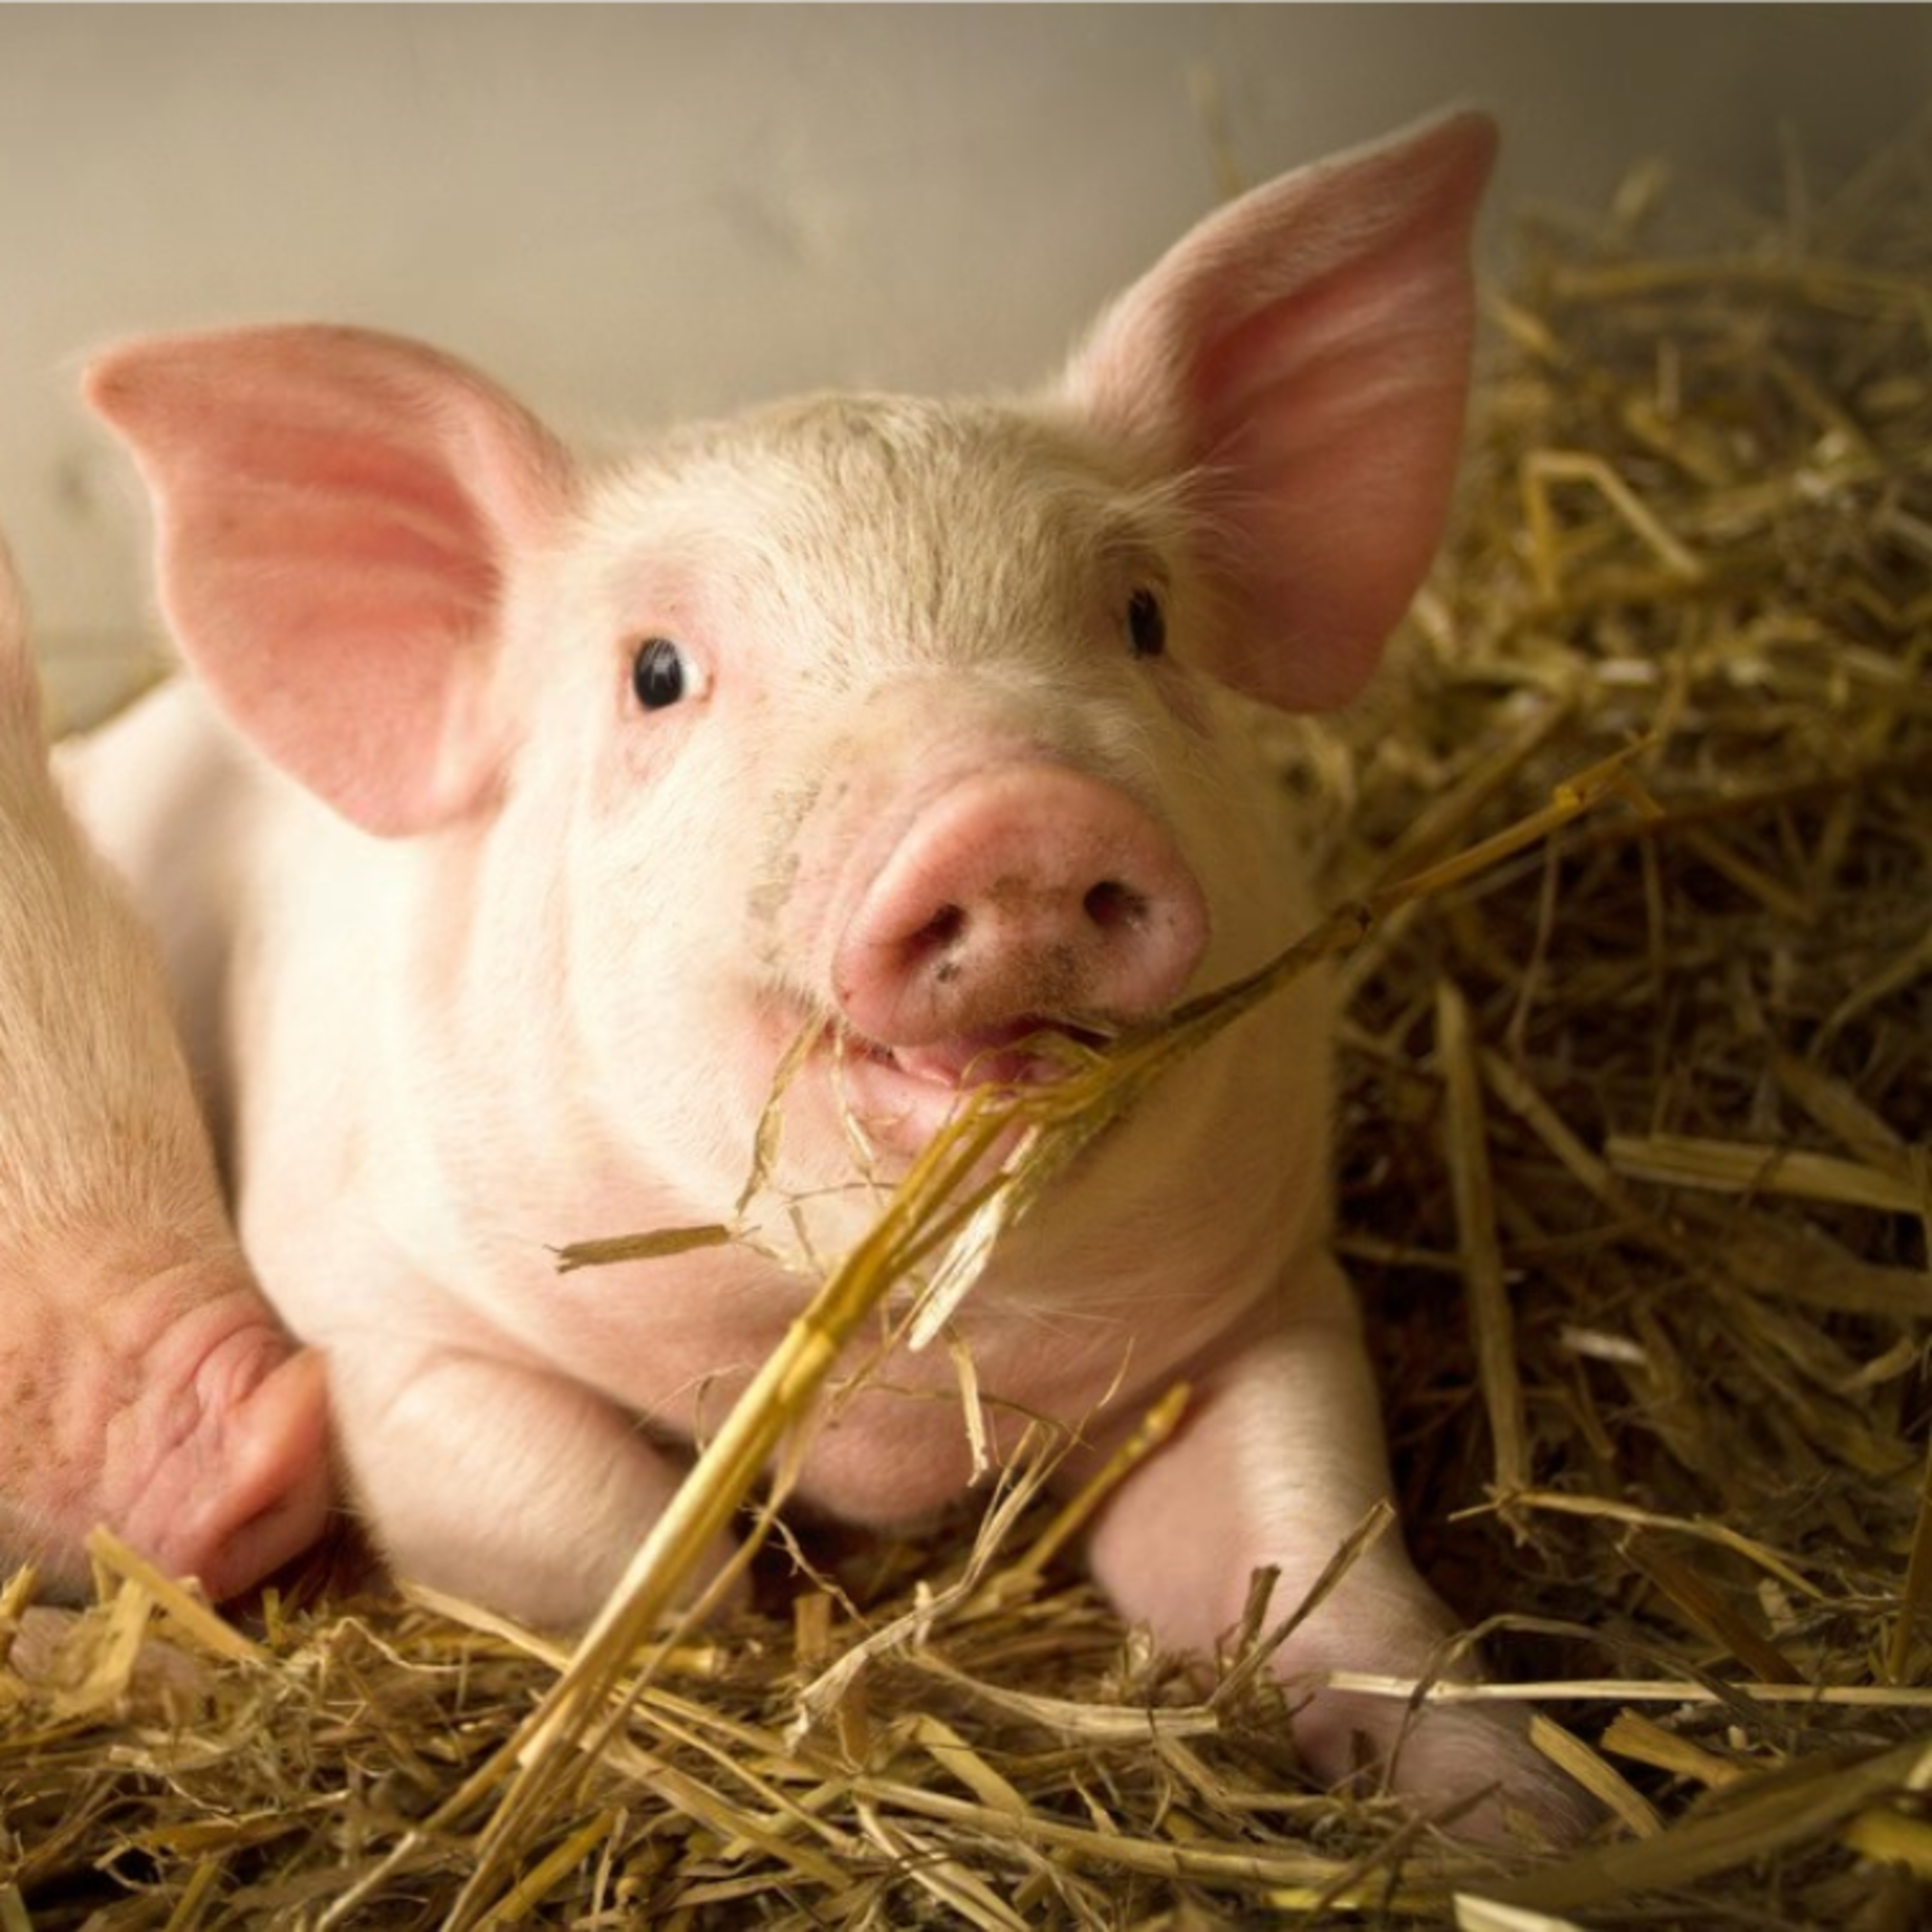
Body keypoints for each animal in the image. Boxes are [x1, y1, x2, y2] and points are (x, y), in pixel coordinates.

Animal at [66, 111, 1588, 1834]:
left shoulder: (1266, 1296)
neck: (872, 1369)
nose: (1013, 813)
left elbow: (1315, 1541)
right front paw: (721, 1664)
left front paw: (1535, 1824)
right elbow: (592, 1533)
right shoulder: (380, 1314)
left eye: (1140, 617)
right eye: (656, 672)